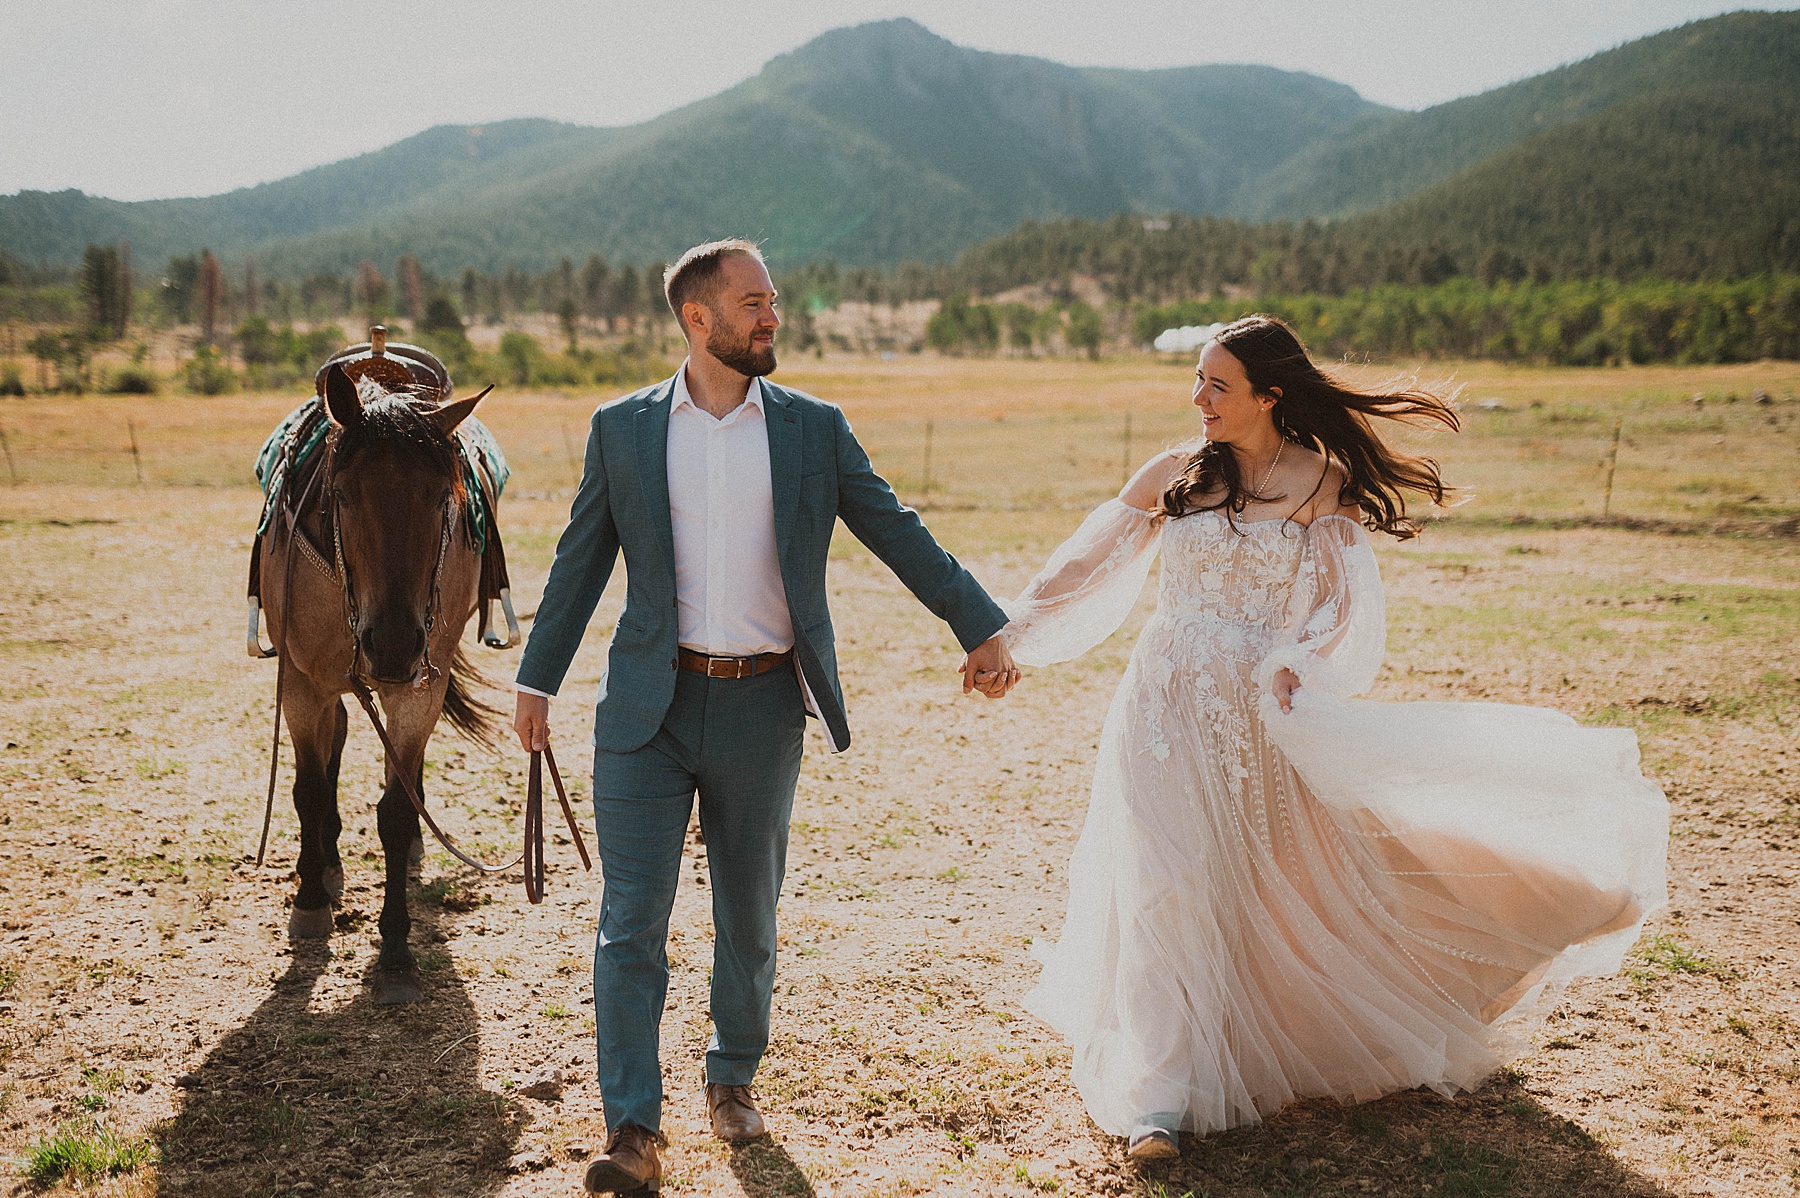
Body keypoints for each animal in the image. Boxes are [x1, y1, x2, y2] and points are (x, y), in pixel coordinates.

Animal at [259, 361, 500, 1000]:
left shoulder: (418, 688)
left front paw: (394, 950)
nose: (390, 644)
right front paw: (310, 899)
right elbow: (309, 790)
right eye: (342, 495)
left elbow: (393, 808)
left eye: (442, 497)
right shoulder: (301, 684)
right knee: (333, 745)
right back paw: (321, 863)